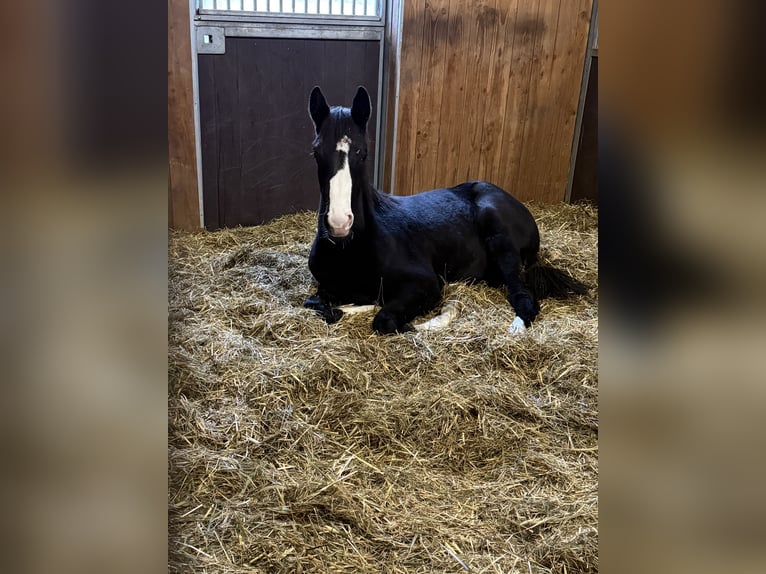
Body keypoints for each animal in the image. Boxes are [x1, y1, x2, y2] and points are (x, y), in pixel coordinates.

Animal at [303, 85, 587, 335]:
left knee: (523, 297)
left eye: (361, 152)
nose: (339, 223)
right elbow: (317, 304)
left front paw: (442, 314)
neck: (352, 249)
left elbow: (385, 320)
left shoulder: (425, 283)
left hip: (501, 239)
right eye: (316, 151)